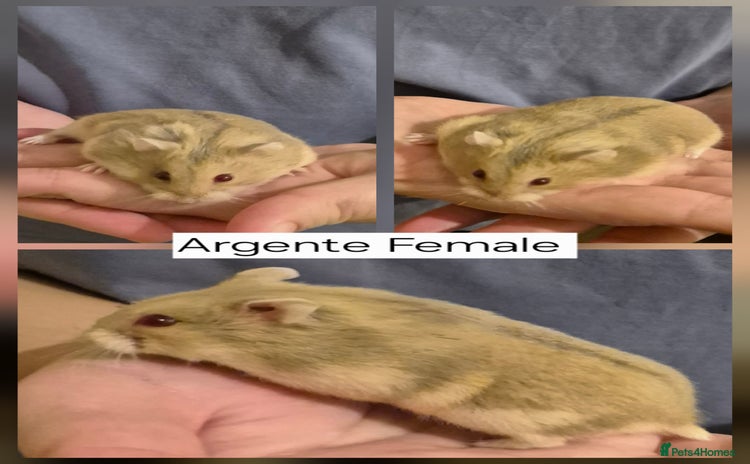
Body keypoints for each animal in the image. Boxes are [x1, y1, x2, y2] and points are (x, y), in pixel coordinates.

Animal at [19, 109, 317, 203]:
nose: (190, 200)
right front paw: (93, 169)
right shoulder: (101, 143)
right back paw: (33, 140)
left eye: (225, 178)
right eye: (162, 176)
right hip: (84, 124)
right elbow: (94, 156)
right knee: (58, 132)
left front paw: (298, 171)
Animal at [406, 96, 722, 202]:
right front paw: (413, 138)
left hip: (706, 132)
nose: (496, 198)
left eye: (542, 181)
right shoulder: (456, 129)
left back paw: (692, 153)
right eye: (478, 173)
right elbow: (438, 133)